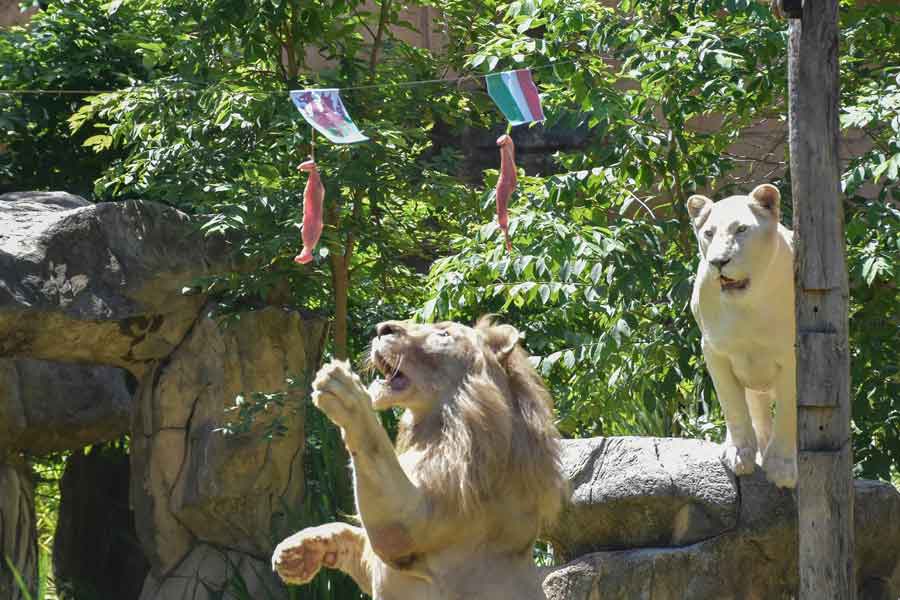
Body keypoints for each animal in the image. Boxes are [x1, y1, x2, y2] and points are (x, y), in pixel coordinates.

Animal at [270, 316, 568, 596]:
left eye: (444, 334)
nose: (381, 329)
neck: (428, 429)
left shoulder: (414, 524)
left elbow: (375, 449)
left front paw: (347, 393)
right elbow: (348, 533)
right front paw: (298, 550)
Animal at [684, 185, 800, 490]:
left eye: (741, 230)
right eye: (709, 233)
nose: (718, 262)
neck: (747, 304)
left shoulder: (794, 355)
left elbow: (788, 410)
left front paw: (782, 467)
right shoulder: (715, 351)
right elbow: (732, 404)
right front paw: (739, 453)